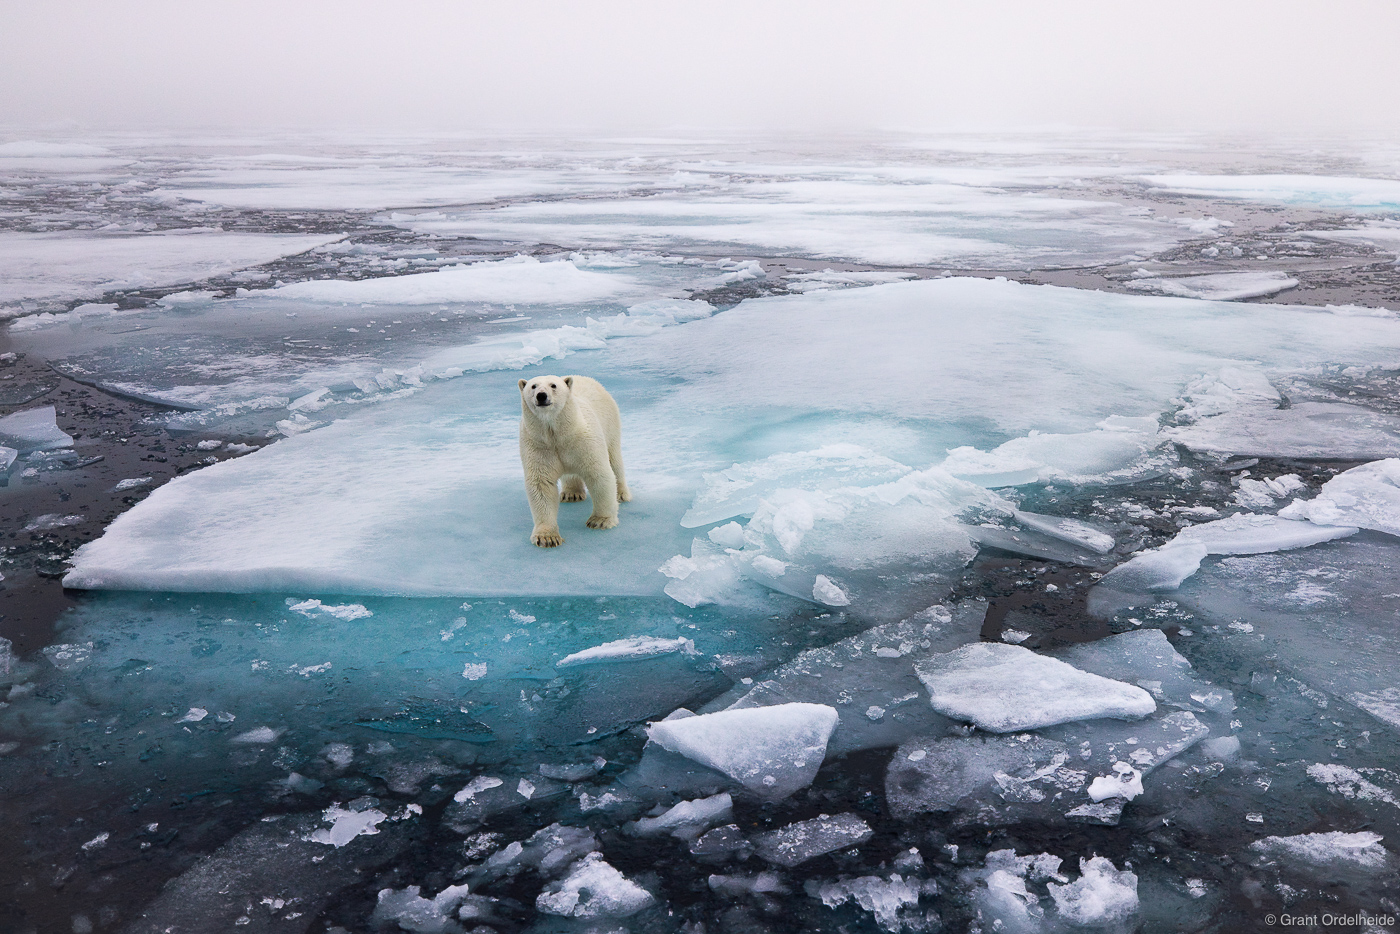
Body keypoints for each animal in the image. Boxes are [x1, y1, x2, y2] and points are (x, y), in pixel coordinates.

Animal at [518, 375, 632, 548]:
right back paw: (571, 494)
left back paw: (622, 494)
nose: (541, 396)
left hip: (610, 422)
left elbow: (599, 474)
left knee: (614, 459)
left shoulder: (584, 439)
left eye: (553, 385)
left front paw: (600, 521)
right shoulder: (538, 445)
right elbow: (541, 485)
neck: (558, 434)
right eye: (533, 386)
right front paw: (547, 537)